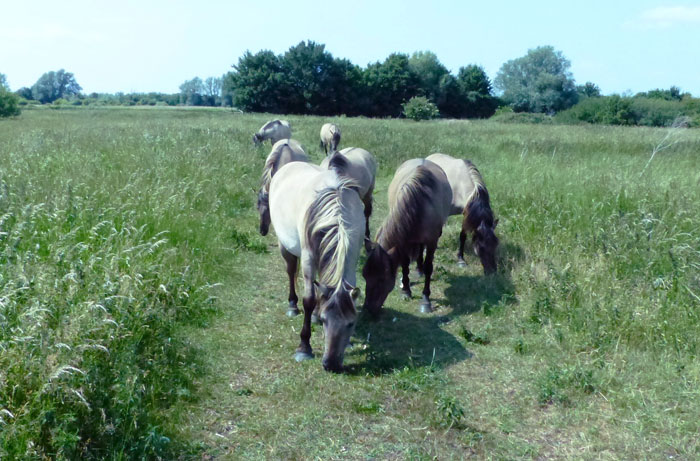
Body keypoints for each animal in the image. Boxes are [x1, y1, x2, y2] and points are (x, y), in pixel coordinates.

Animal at [269, 161, 365, 372]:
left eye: (351, 323)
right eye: (325, 320)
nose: (331, 364)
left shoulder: (352, 258)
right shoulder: (308, 259)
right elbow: (309, 299)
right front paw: (304, 347)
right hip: (284, 245)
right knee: (290, 272)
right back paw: (292, 305)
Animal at [362, 158, 452, 315]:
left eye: (382, 279)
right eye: (365, 276)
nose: (368, 308)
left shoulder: (432, 241)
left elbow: (429, 267)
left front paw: (425, 299)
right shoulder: (403, 242)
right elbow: (404, 263)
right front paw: (406, 290)